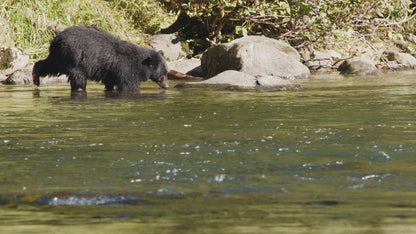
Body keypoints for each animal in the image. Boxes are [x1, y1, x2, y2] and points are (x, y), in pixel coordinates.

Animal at [32, 25, 168, 91]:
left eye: (166, 72)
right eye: (163, 74)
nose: (167, 86)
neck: (141, 65)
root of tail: (56, 40)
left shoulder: (112, 71)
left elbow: (110, 82)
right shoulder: (127, 69)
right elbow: (129, 85)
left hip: (60, 57)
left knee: (50, 66)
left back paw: (36, 77)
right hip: (75, 59)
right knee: (78, 78)